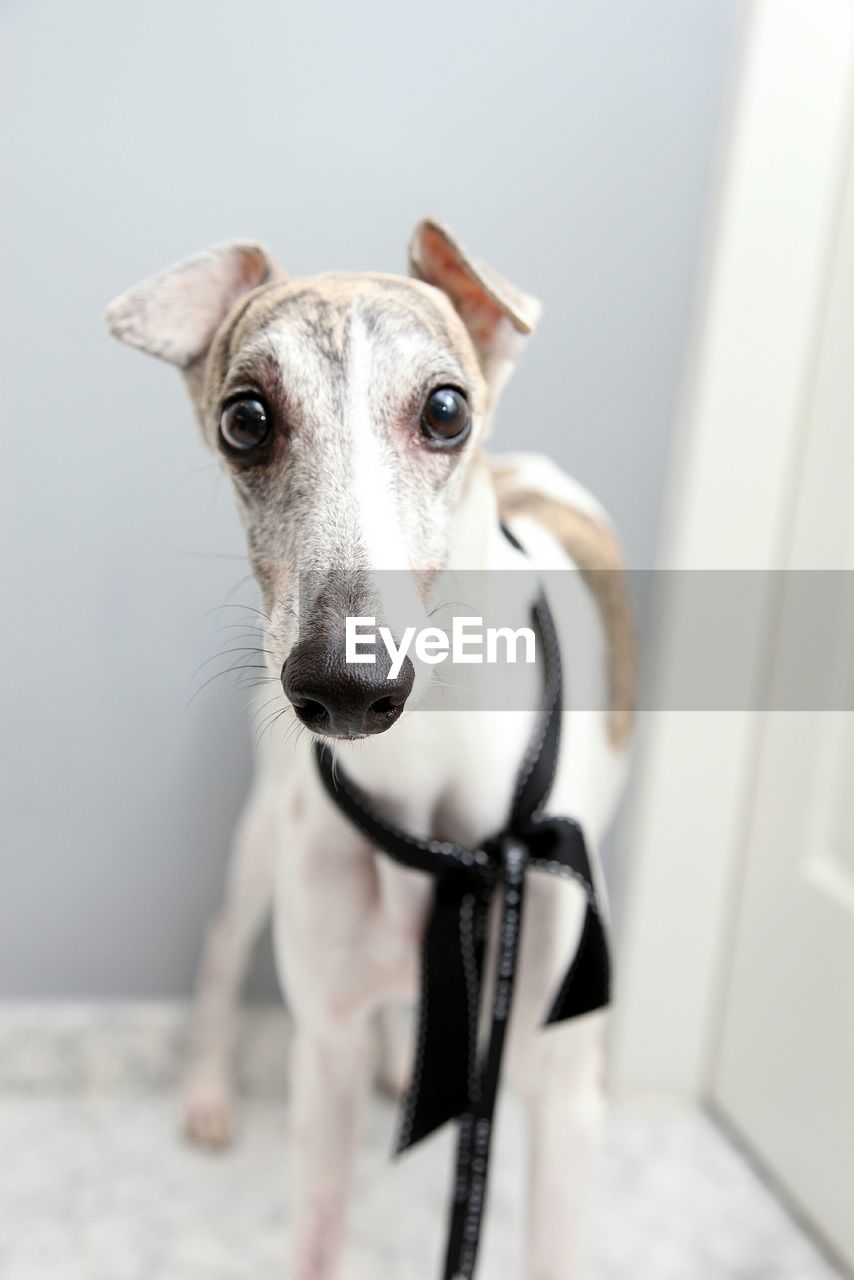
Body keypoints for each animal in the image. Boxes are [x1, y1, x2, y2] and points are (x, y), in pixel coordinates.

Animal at [104, 220, 635, 1280]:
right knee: (223, 939)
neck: (429, 774)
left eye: (446, 410)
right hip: (264, 834)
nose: (346, 687)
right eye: (245, 419)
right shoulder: (326, 1043)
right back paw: (210, 1093)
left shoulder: (566, 1086)